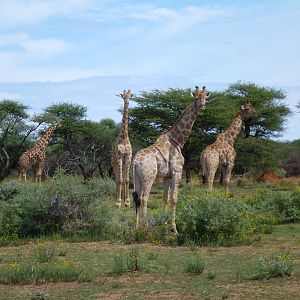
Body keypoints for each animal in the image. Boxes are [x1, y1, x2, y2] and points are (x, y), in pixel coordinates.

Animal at [132, 85, 210, 233]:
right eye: (196, 97)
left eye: (205, 97)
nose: (202, 106)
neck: (178, 141)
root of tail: (135, 162)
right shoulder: (177, 172)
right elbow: (174, 199)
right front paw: (174, 229)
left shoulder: (166, 176)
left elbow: (165, 199)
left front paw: (165, 224)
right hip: (149, 177)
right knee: (144, 198)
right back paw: (146, 227)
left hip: (137, 178)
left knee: (137, 198)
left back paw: (136, 228)